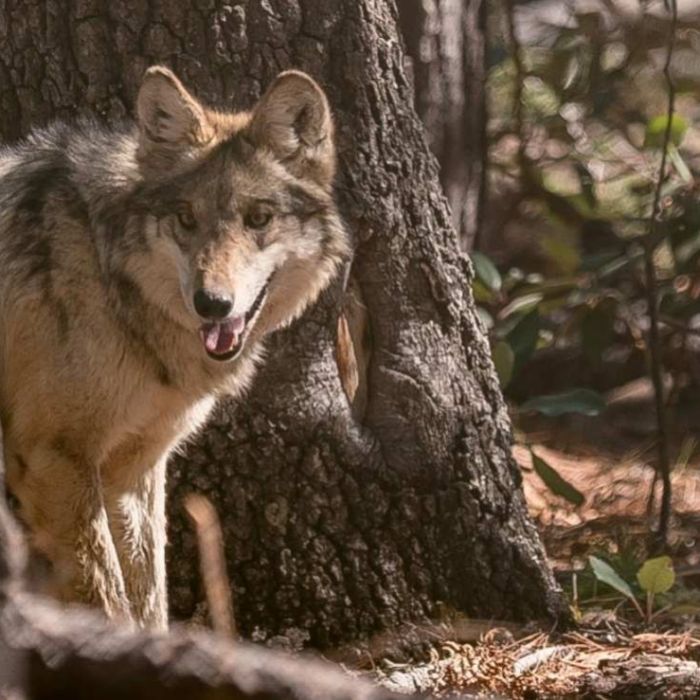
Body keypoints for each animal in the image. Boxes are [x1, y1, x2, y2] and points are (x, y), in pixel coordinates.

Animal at [0, 67, 349, 628]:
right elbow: (108, 599)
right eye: (187, 219)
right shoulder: (55, 457)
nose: (212, 303)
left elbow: (149, 599)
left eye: (258, 218)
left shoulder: (133, 469)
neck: (108, 275)